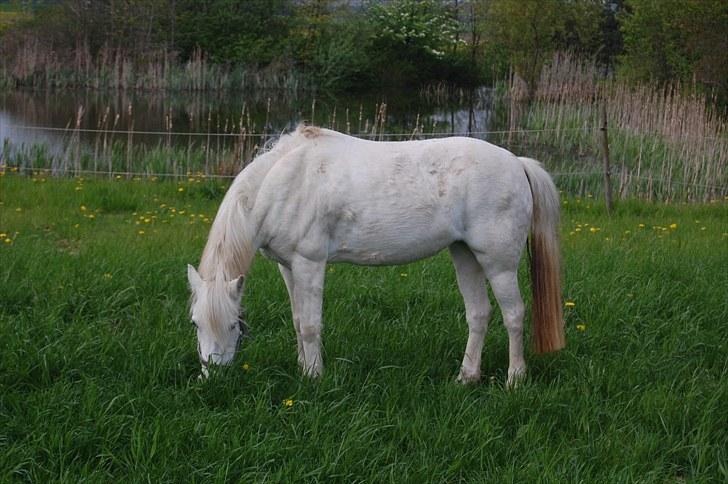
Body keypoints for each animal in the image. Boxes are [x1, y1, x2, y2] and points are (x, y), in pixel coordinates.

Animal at [186, 125, 564, 386]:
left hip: (498, 263)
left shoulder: (309, 264)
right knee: (479, 314)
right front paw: (303, 367)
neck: (284, 182)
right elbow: (296, 320)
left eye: (233, 324)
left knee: (514, 315)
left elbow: (310, 324)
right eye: (195, 323)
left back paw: (514, 379)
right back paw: (466, 377)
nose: (213, 378)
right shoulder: (288, 267)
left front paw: (314, 377)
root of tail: (517, 163)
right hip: (466, 255)